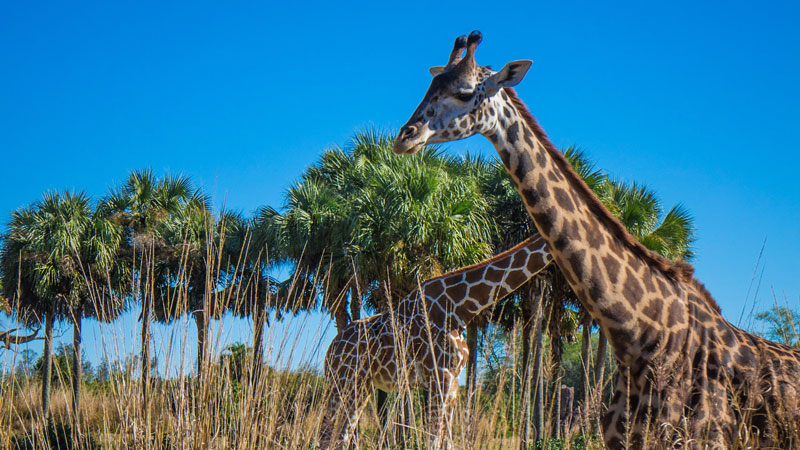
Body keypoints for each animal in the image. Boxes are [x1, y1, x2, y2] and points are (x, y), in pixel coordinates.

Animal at [318, 234, 552, 448]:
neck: (462, 307)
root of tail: (330, 350)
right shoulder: (440, 376)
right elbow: (432, 440)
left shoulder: (453, 382)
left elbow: (447, 442)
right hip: (342, 382)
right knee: (328, 435)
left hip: (361, 386)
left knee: (341, 435)